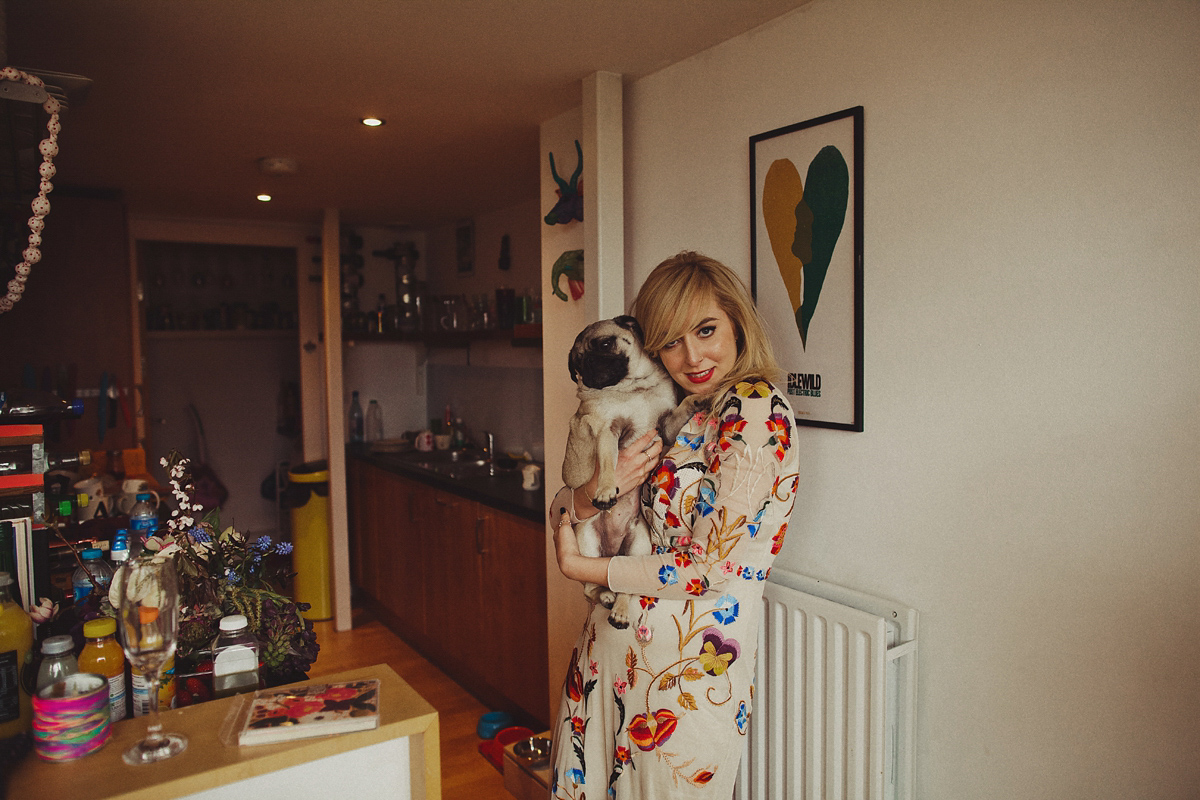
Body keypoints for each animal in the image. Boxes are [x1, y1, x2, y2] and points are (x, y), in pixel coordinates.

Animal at [564, 316, 705, 628]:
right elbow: (609, 465)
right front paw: (605, 490)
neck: (634, 387)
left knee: (622, 584)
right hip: (586, 540)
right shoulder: (608, 431)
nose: (588, 365)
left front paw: (694, 401)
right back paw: (606, 598)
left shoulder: (666, 428)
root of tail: (611, 551)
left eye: (605, 344)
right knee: (592, 587)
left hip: (638, 544)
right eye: (577, 364)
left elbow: (679, 411)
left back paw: (618, 609)